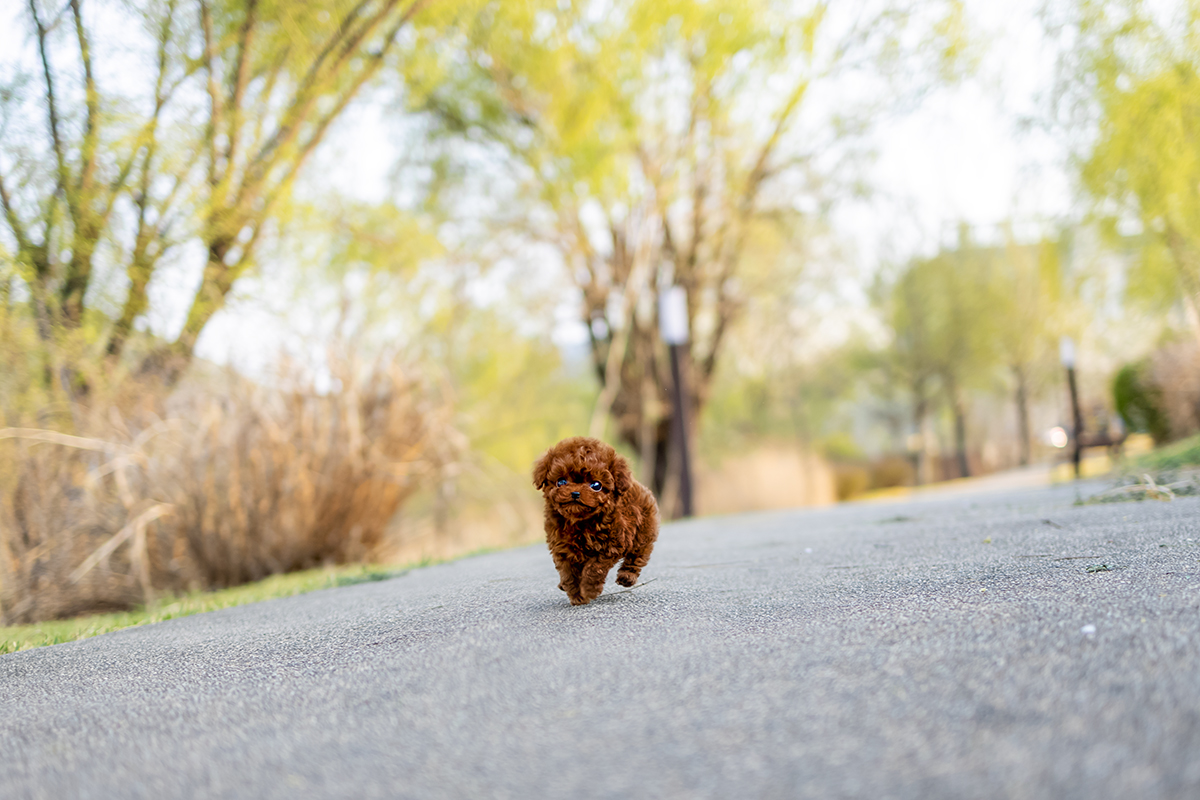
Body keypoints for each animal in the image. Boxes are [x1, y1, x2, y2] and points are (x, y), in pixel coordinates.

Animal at [535, 438, 662, 606]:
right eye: (561, 482)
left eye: (596, 485)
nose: (575, 493)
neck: (579, 521)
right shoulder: (562, 547)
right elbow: (569, 573)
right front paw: (576, 595)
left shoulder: (611, 545)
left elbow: (594, 568)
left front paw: (588, 590)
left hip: (643, 532)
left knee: (638, 555)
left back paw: (627, 577)